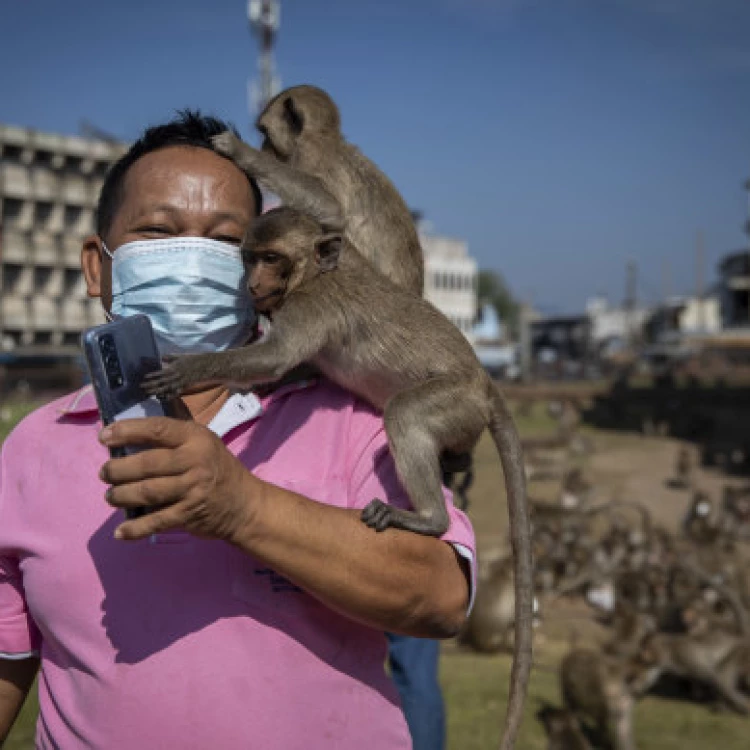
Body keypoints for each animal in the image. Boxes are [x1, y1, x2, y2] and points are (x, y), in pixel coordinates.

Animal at [212, 84, 426, 296]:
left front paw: (240, 150)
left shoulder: (307, 155)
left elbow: (332, 209)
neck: (324, 137)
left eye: (265, 133)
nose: (263, 148)